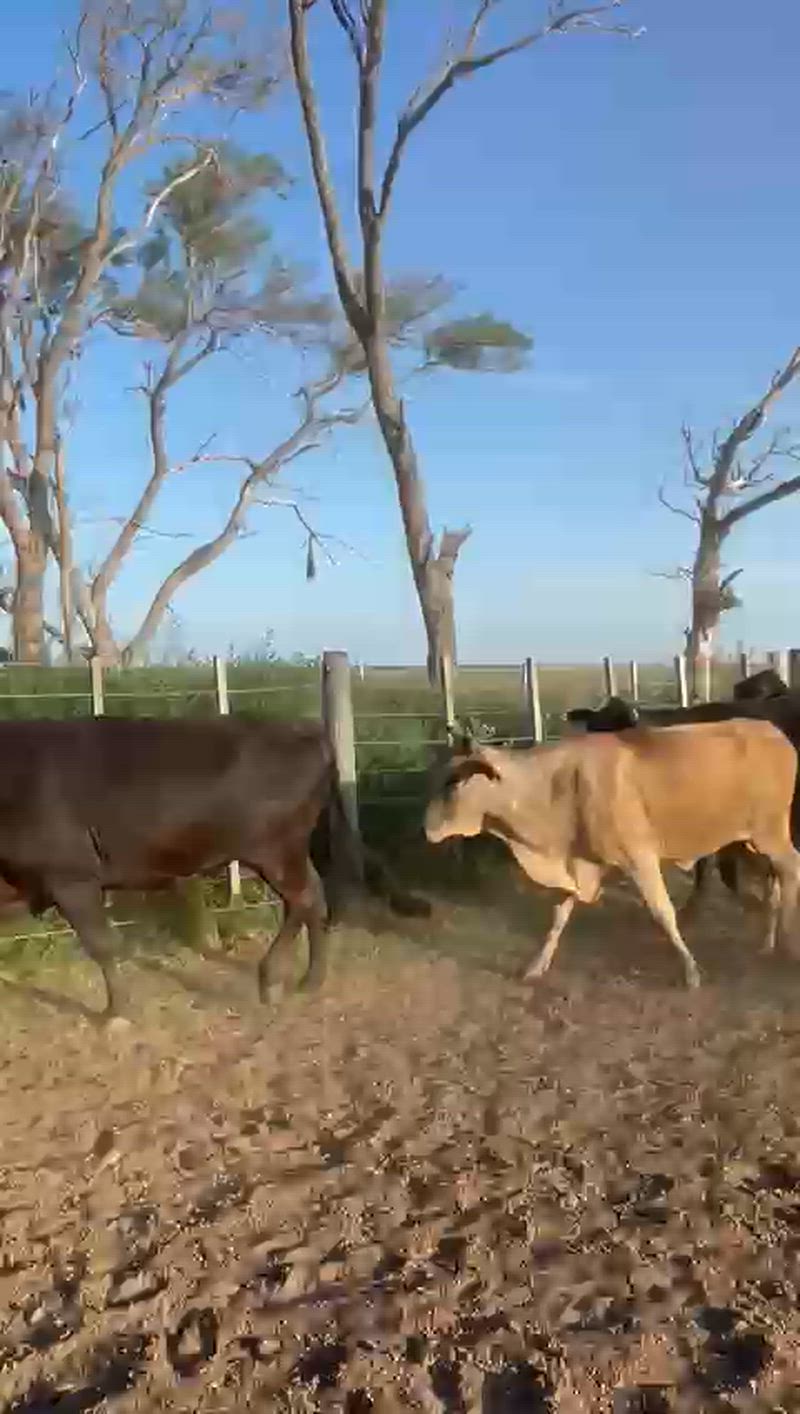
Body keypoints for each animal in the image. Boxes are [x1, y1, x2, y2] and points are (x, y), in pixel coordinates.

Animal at [0, 716, 421, 1019]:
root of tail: (301, 729)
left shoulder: (71, 876)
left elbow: (101, 944)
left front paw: (115, 1013)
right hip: (287, 851)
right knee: (312, 899)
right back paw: (308, 980)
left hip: (274, 848)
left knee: (303, 900)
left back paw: (273, 978)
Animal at [424, 721, 800, 988]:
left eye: (454, 782)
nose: (426, 827)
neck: (553, 787)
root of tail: (774, 732)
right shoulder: (576, 864)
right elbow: (557, 918)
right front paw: (535, 966)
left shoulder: (639, 858)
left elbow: (663, 913)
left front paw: (691, 971)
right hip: (751, 842)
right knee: (773, 882)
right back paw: (767, 943)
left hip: (770, 834)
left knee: (791, 868)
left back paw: (787, 943)